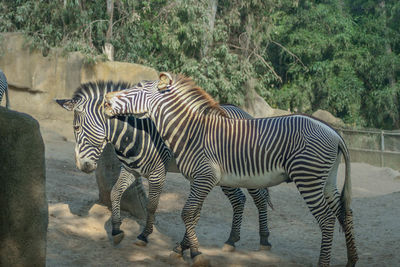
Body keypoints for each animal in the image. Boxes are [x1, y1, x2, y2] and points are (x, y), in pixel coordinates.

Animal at [54, 80, 274, 252]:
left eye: (76, 127)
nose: (83, 166)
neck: (135, 133)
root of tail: (244, 112)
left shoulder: (158, 172)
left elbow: (152, 205)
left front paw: (144, 236)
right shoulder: (131, 170)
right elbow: (115, 192)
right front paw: (116, 229)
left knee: (259, 198)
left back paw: (264, 239)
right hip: (224, 175)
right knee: (239, 200)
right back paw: (231, 240)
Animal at [104, 73, 360, 267]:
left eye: (137, 88)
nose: (106, 99)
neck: (190, 132)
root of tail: (333, 131)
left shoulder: (204, 177)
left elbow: (187, 213)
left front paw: (196, 254)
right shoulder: (200, 179)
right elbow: (194, 214)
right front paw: (183, 248)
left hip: (307, 178)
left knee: (326, 219)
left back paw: (323, 263)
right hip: (326, 180)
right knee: (345, 213)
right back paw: (352, 259)